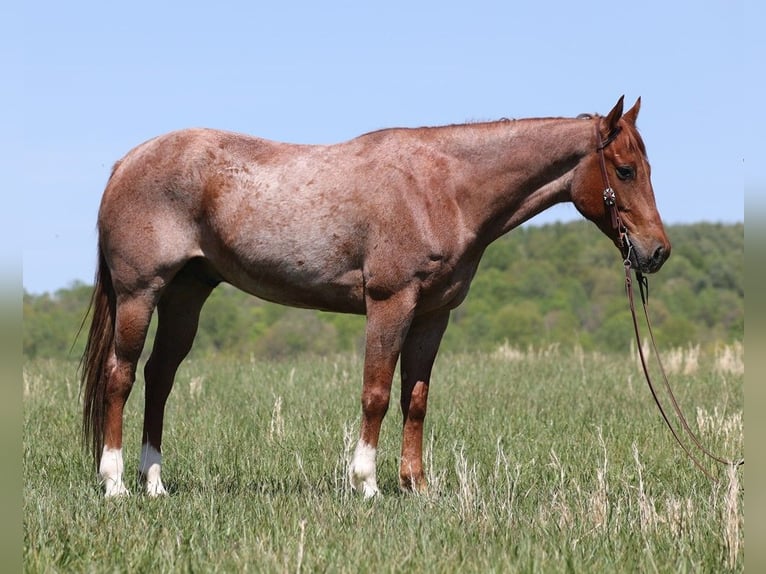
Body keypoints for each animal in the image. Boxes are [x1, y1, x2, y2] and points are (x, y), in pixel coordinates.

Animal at [82, 97, 672, 498]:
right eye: (624, 170)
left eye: (647, 168)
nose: (657, 251)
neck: (442, 188)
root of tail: (126, 163)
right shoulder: (390, 303)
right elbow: (377, 393)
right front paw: (365, 483)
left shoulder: (433, 315)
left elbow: (416, 398)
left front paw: (417, 486)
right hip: (140, 293)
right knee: (121, 375)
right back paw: (115, 483)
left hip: (186, 296)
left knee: (159, 378)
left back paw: (154, 481)